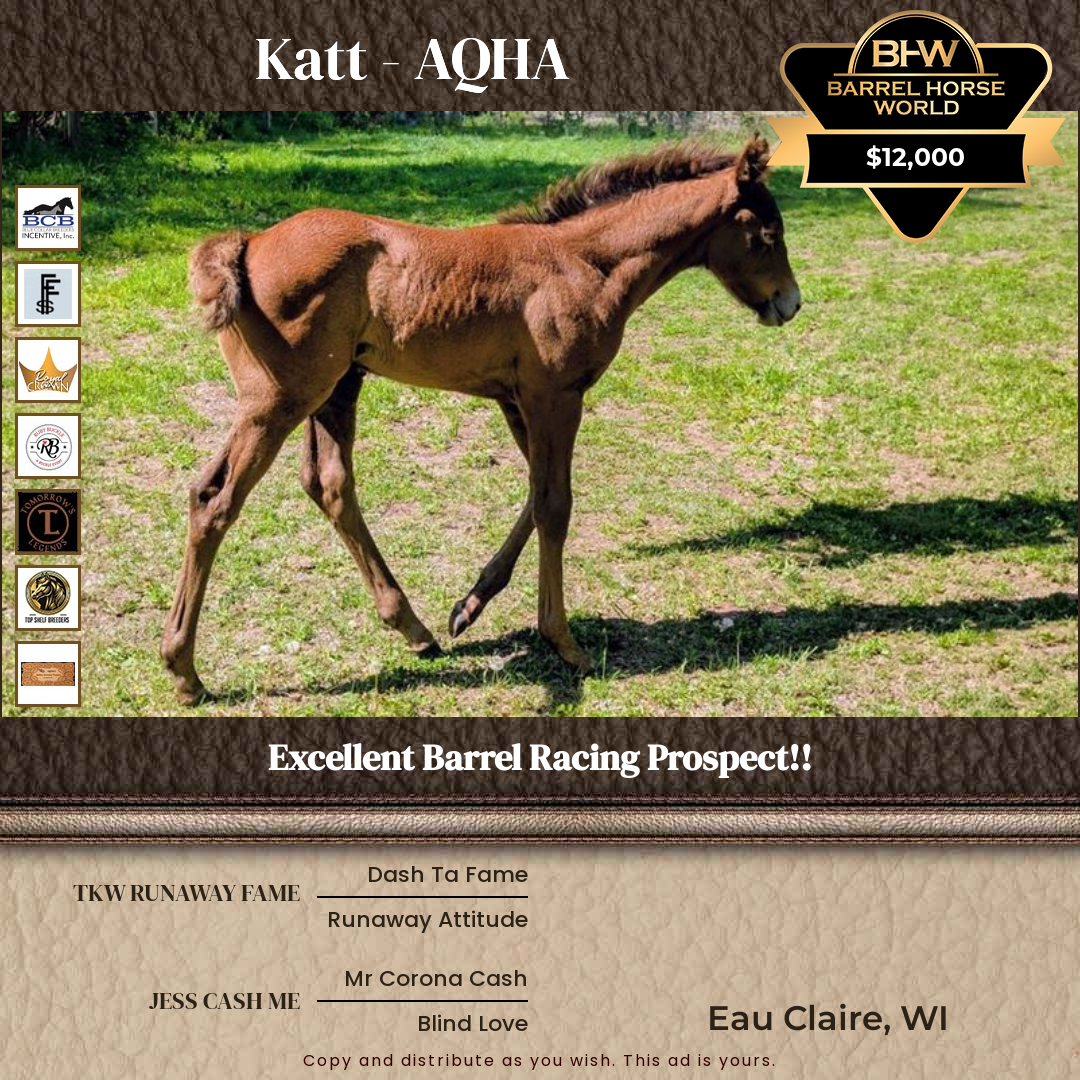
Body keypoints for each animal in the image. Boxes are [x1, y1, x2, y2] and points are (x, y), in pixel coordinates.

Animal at [161, 137, 801, 704]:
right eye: (768, 234)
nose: (790, 303)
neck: (583, 263)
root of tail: (248, 243)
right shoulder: (556, 396)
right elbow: (554, 505)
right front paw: (564, 642)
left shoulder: (518, 399)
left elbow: (537, 494)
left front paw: (470, 605)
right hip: (278, 401)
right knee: (214, 499)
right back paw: (184, 670)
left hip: (337, 388)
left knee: (329, 485)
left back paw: (413, 628)